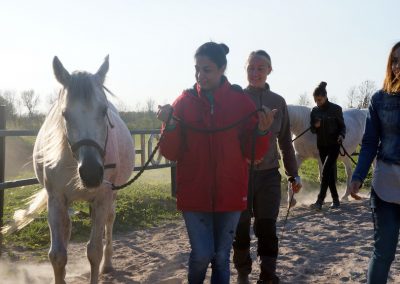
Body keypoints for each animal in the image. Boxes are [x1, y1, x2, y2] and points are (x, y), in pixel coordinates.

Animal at [1, 56, 135, 284]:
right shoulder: (55, 199)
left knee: (109, 221)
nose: (91, 173)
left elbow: (94, 251)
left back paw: (108, 264)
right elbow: (57, 255)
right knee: (68, 226)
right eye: (64, 113)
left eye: (103, 111)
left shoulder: (102, 198)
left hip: (111, 196)